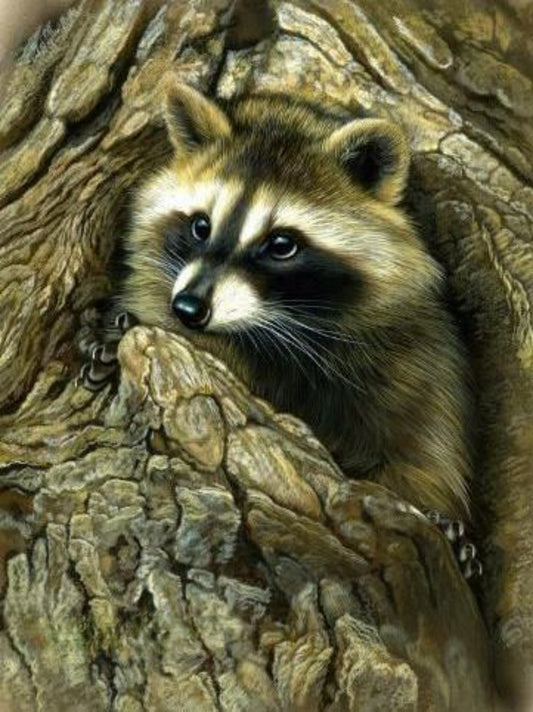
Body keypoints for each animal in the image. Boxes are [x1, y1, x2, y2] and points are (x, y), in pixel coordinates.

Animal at [116, 78, 472, 519]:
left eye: (281, 245)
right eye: (201, 226)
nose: (188, 308)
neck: (279, 333)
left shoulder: (416, 365)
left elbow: (423, 452)